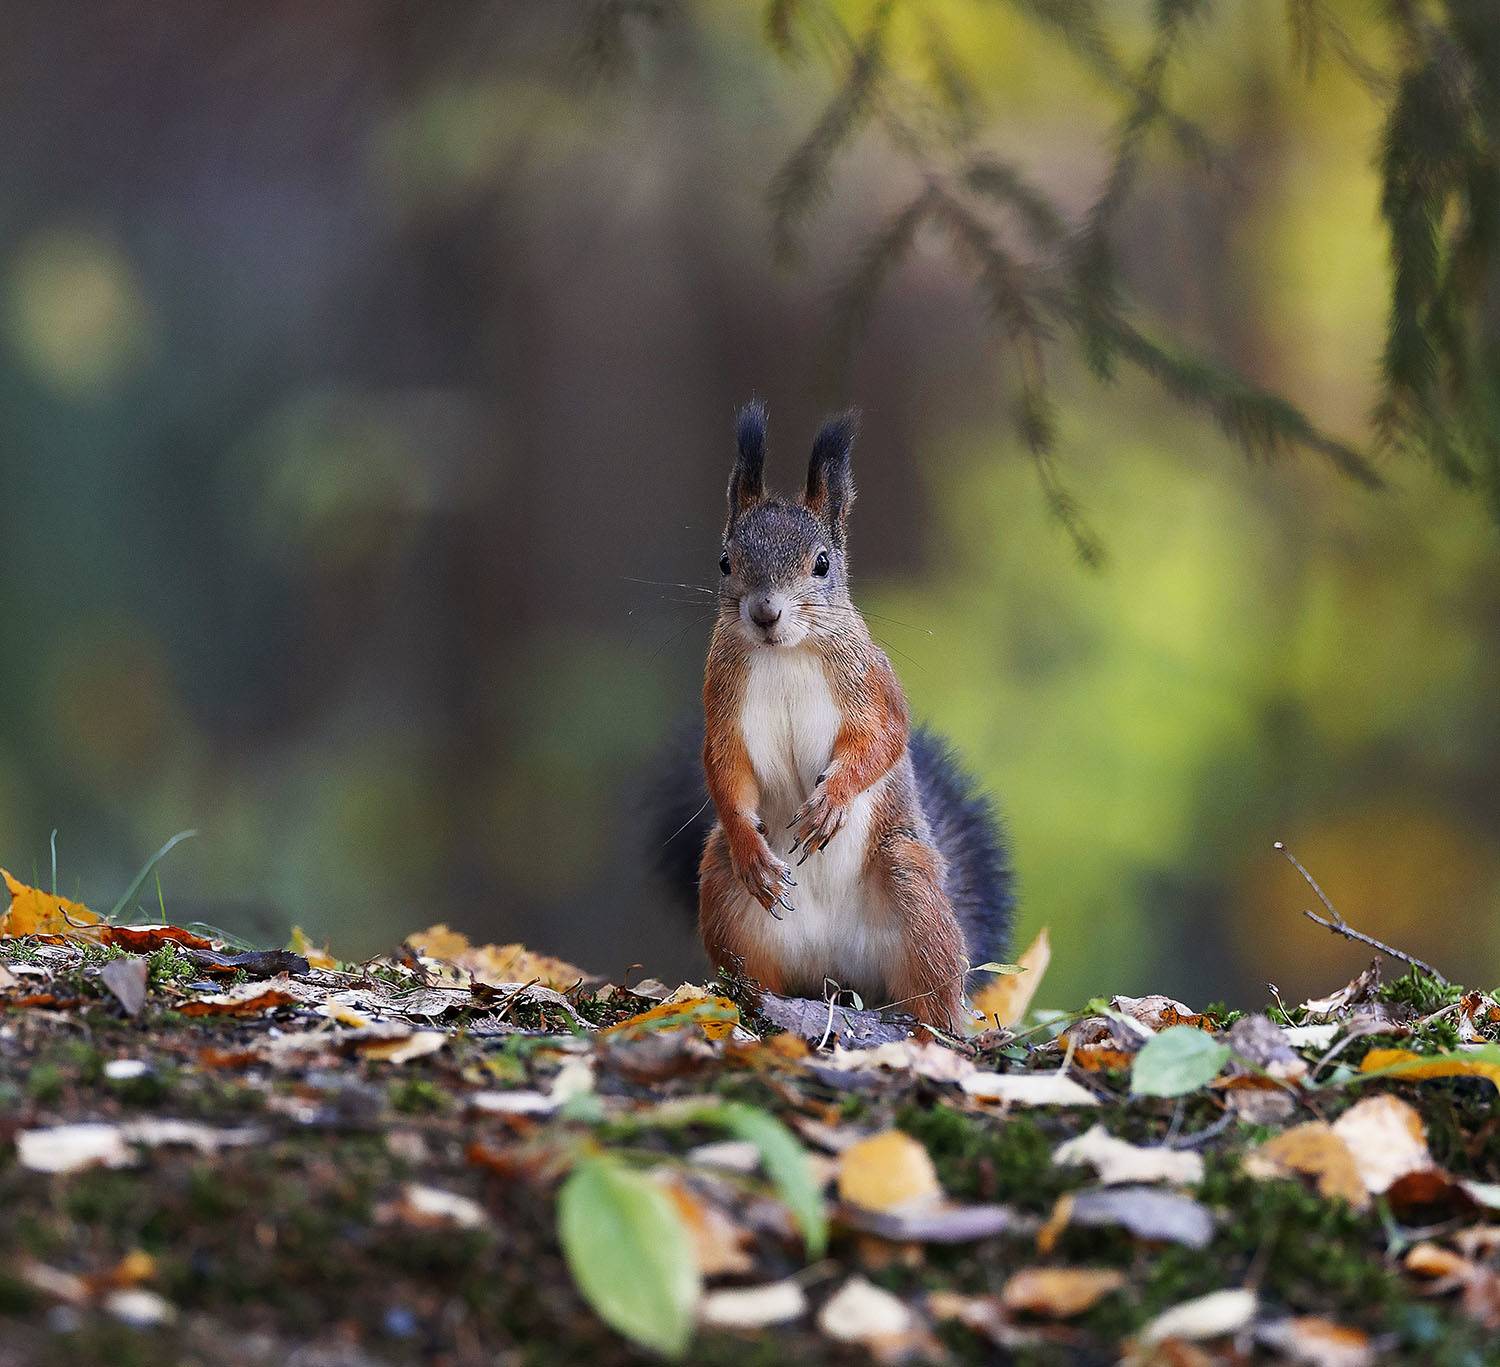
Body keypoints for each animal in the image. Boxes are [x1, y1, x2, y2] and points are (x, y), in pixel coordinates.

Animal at [654, 400, 1013, 1035]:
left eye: (822, 564)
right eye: (724, 562)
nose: (765, 612)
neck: (785, 652)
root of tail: (838, 979)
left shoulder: (872, 683)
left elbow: (883, 739)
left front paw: (832, 801)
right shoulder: (721, 703)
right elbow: (723, 766)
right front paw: (752, 844)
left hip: (912, 889)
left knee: (933, 988)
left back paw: (943, 1024)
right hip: (725, 899)